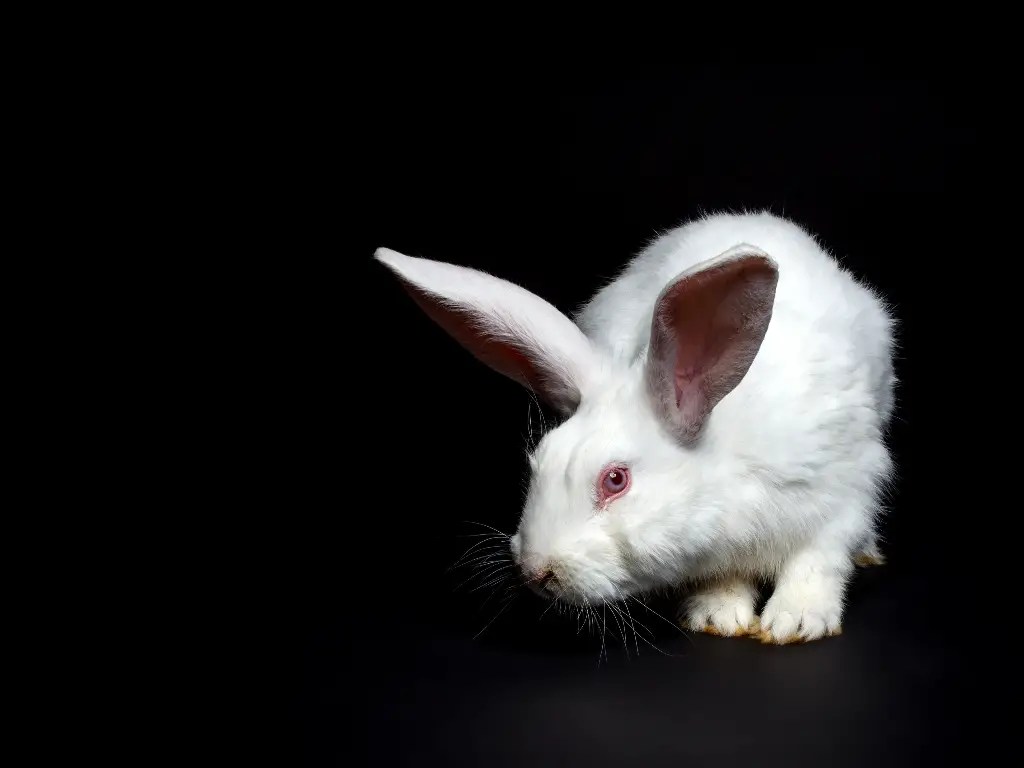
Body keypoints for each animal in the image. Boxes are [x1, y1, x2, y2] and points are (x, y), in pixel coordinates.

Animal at [374, 211, 897, 644]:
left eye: (615, 480)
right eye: (537, 463)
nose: (536, 573)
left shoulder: (844, 493)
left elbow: (815, 562)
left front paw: (796, 622)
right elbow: (724, 579)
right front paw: (719, 615)